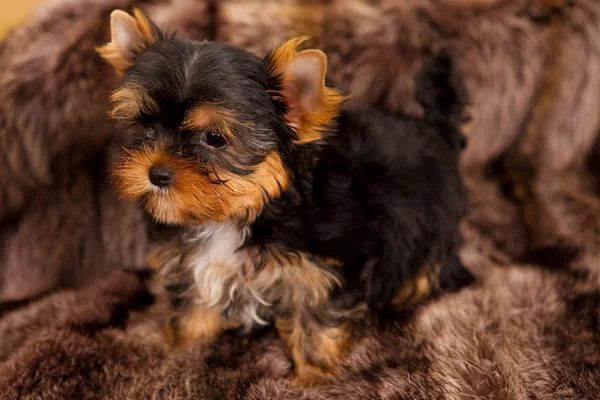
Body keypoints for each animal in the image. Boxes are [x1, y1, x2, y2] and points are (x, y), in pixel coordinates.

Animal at [99, 8, 474, 384]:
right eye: (145, 125)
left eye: (214, 138)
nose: (157, 174)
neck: (244, 213)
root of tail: (436, 128)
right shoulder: (193, 264)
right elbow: (194, 308)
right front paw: (179, 350)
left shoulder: (322, 269)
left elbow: (315, 325)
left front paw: (313, 380)